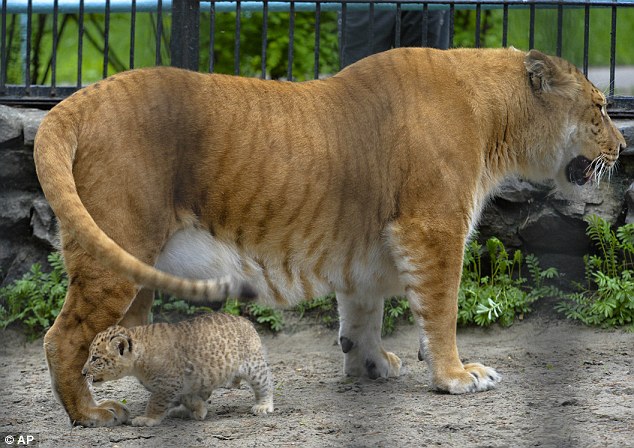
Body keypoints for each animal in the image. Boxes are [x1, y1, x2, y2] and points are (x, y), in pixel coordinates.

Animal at [34, 46, 624, 428]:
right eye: (599, 107)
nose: (621, 149)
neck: (496, 119)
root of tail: (78, 100)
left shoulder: (368, 246)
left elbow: (363, 313)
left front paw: (369, 364)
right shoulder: (432, 227)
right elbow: (442, 308)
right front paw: (456, 375)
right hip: (116, 252)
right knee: (63, 337)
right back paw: (93, 414)